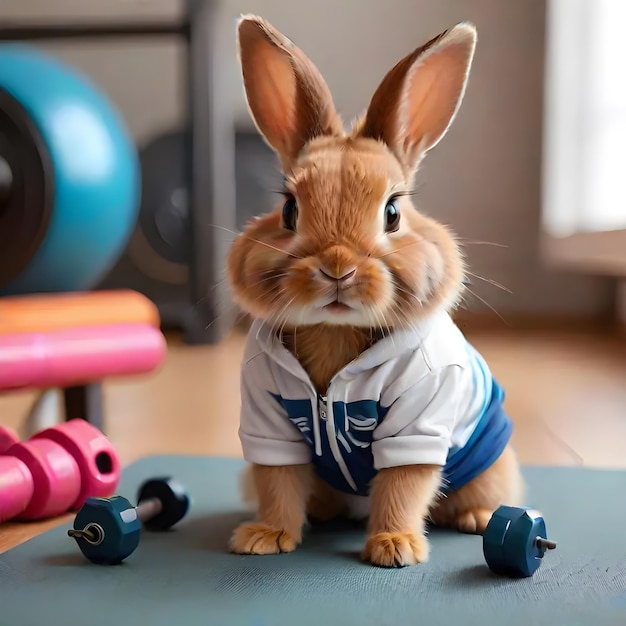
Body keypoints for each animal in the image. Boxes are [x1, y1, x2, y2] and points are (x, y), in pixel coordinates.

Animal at [224, 12, 520, 564]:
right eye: (289, 210)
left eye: (393, 213)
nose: (337, 267)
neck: (336, 331)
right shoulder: (267, 419)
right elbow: (276, 480)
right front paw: (263, 537)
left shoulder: (418, 421)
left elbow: (404, 483)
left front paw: (395, 547)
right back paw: (319, 512)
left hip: (488, 455)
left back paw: (477, 517)